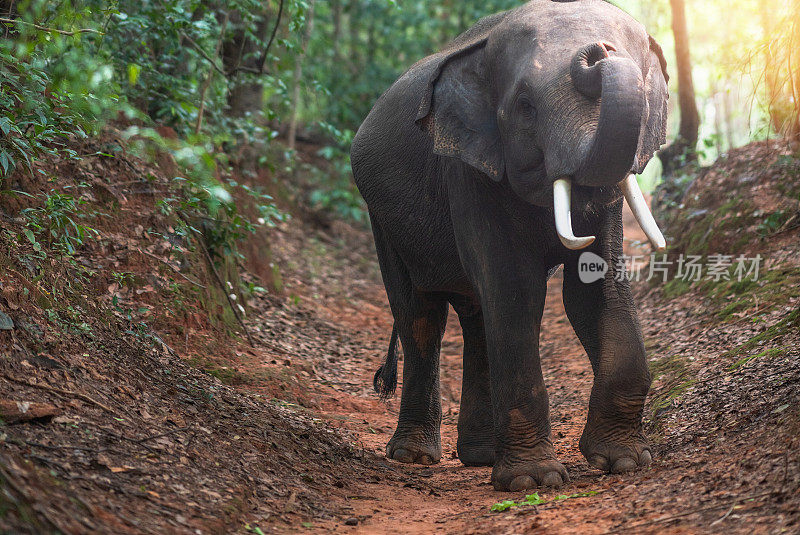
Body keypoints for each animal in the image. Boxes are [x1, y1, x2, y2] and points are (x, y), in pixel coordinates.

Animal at [350, 0, 668, 494]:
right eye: (525, 107)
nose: (597, 52)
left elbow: (593, 290)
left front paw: (625, 461)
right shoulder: (468, 171)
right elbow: (515, 290)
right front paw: (533, 481)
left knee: (477, 317)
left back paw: (479, 457)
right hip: (382, 220)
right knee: (421, 315)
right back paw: (414, 457)